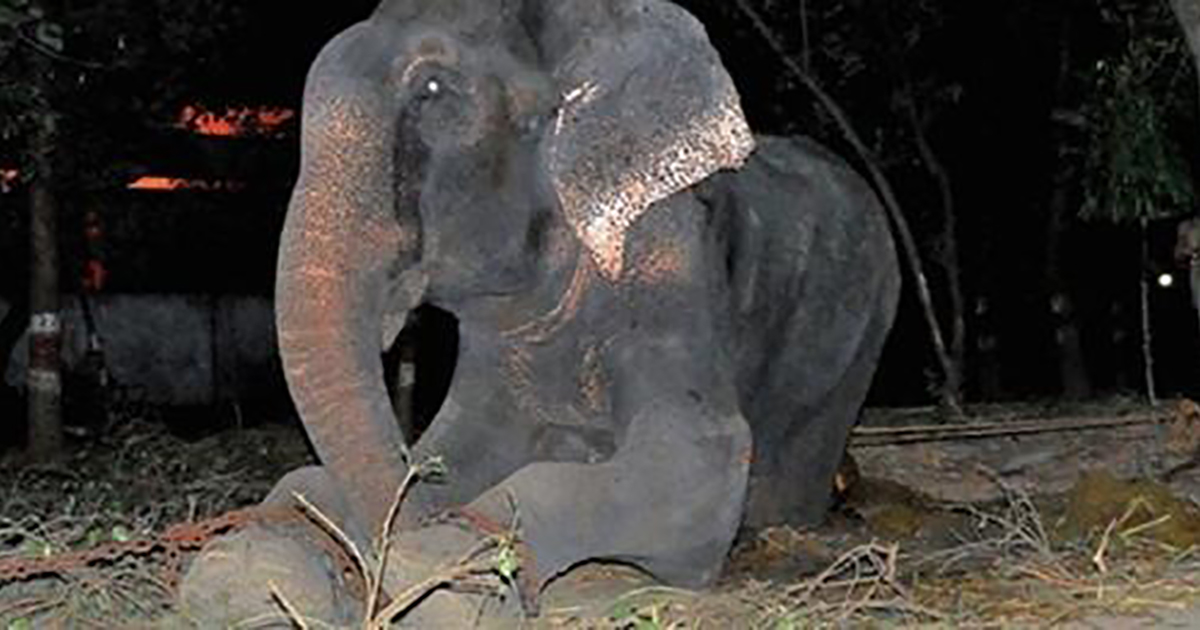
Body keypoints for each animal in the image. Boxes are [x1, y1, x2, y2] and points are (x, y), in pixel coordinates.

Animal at [180, 0, 899, 624]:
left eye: (434, 89)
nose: (379, 554)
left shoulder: (670, 259)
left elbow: (700, 459)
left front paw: (446, 577)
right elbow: (454, 448)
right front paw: (247, 568)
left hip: (864, 330)